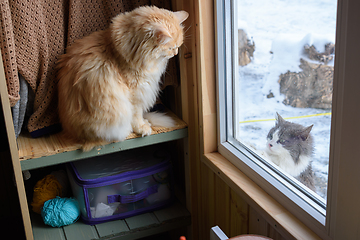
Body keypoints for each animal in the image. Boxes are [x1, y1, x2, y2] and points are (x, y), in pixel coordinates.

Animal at [57, 6, 188, 150]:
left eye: (178, 46)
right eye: (171, 48)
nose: (175, 53)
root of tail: (71, 133)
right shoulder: (136, 94)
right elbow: (137, 116)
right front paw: (142, 127)